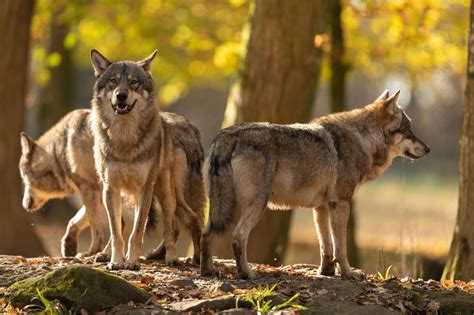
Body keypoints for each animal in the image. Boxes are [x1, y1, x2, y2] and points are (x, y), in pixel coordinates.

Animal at [19, 108, 204, 264]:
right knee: (187, 220)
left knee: (178, 222)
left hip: (160, 191)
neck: (61, 148)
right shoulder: (100, 190)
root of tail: (188, 127)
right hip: (165, 194)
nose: (24, 205)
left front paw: (92, 252)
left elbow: (96, 227)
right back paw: (188, 258)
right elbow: (76, 220)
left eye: (24, 178)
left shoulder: (89, 189)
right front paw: (70, 246)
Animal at [89, 50, 193, 270]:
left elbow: (137, 232)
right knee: (119, 225)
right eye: (113, 81)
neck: (124, 139)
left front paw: (132, 262)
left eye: (134, 82)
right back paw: (104, 254)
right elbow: (116, 233)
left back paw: (171, 257)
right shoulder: (111, 188)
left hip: (165, 193)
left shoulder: (145, 189)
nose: (121, 95)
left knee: (171, 226)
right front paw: (116, 261)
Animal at [200, 90, 430, 278]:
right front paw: (348, 274)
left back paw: (207, 271)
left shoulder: (321, 207)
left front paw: (326, 272)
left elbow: (325, 246)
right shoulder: (341, 204)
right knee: (238, 236)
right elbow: (340, 247)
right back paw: (245, 273)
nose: (428, 149)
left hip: (222, 207)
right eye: (408, 130)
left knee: (206, 233)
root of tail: (226, 136)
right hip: (256, 205)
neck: (364, 139)